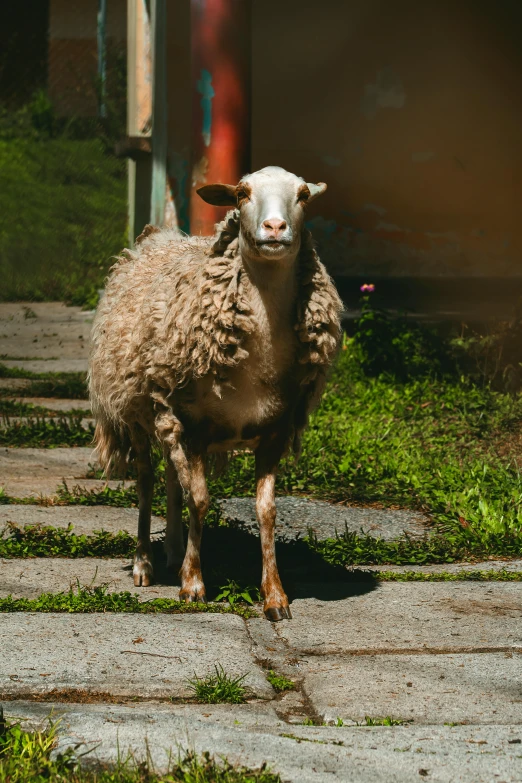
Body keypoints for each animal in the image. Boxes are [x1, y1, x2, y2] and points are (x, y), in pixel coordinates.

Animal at [88, 164, 342, 620]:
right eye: (241, 193)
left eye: (302, 195)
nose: (274, 227)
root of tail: (157, 236)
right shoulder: (194, 425)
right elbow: (201, 500)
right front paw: (193, 584)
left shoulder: (273, 430)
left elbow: (266, 511)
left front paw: (275, 595)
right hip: (137, 411)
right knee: (147, 480)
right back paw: (144, 563)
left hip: (164, 415)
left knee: (172, 478)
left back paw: (172, 550)